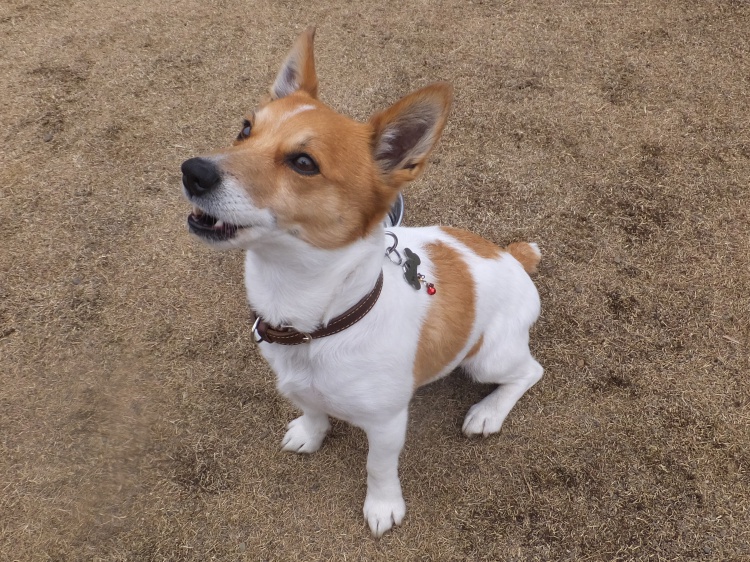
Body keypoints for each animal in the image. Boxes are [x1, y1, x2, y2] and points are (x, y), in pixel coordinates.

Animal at [181, 27, 543, 537]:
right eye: (246, 129)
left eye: (304, 163)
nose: (192, 171)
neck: (318, 323)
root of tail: (511, 255)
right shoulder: (298, 384)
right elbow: (312, 409)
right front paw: (310, 433)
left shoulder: (388, 423)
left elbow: (378, 466)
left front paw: (383, 506)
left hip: (487, 357)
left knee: (529, 372)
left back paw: (488, 412)